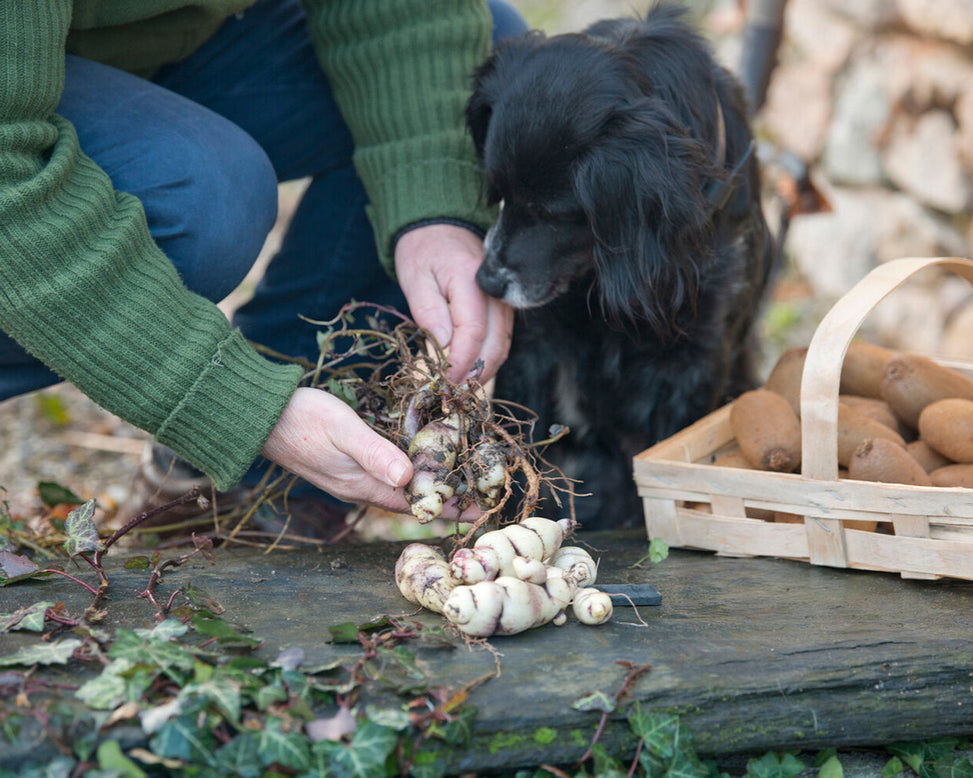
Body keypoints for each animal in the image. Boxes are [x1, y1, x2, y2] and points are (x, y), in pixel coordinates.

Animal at [466, 3, 776, 528]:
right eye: (500, 190)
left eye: (554, 213)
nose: (486, 282)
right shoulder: (535, 343)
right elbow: (520, 443)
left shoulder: (697, 361)